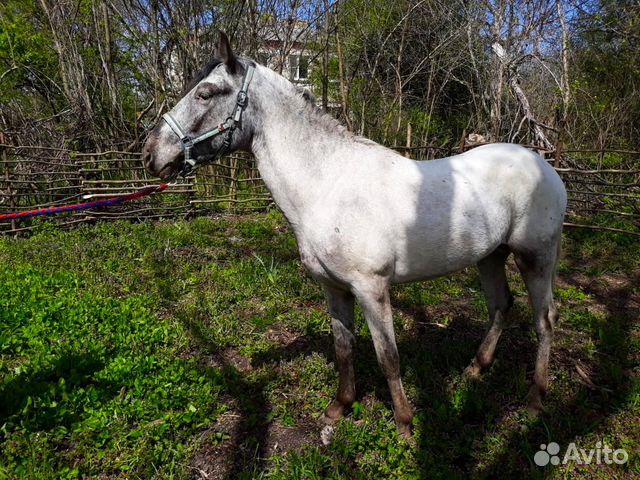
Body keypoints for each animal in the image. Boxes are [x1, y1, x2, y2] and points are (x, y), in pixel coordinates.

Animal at [144, 31, 564, 434]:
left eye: (205, 92)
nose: (151, 153)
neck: (328, 185)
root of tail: (544, 165)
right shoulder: (334, 288)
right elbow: (343, 348)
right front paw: (339, 408)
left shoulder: (371, 288)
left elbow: (387, 357)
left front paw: (405, 425)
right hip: (490, 256)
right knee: (501, 306)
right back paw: (475, 370)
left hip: (536, 258)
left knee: (544, 320)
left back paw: (535, 400)